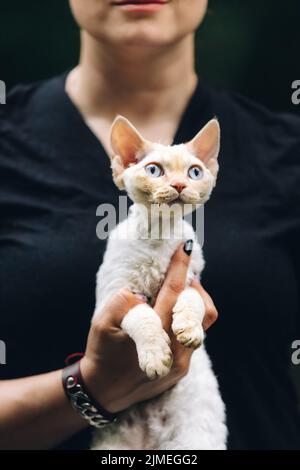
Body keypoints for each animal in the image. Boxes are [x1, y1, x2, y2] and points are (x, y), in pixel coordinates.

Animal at [92, 115, 227, 450]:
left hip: (194, 439)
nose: (179, 185)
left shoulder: (193, 278)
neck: (160, 236)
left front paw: (189, 327)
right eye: (154, 170)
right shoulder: (113, 297)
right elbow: (141, 314)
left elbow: (191, 298)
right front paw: (155, 355)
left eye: (195, 172)